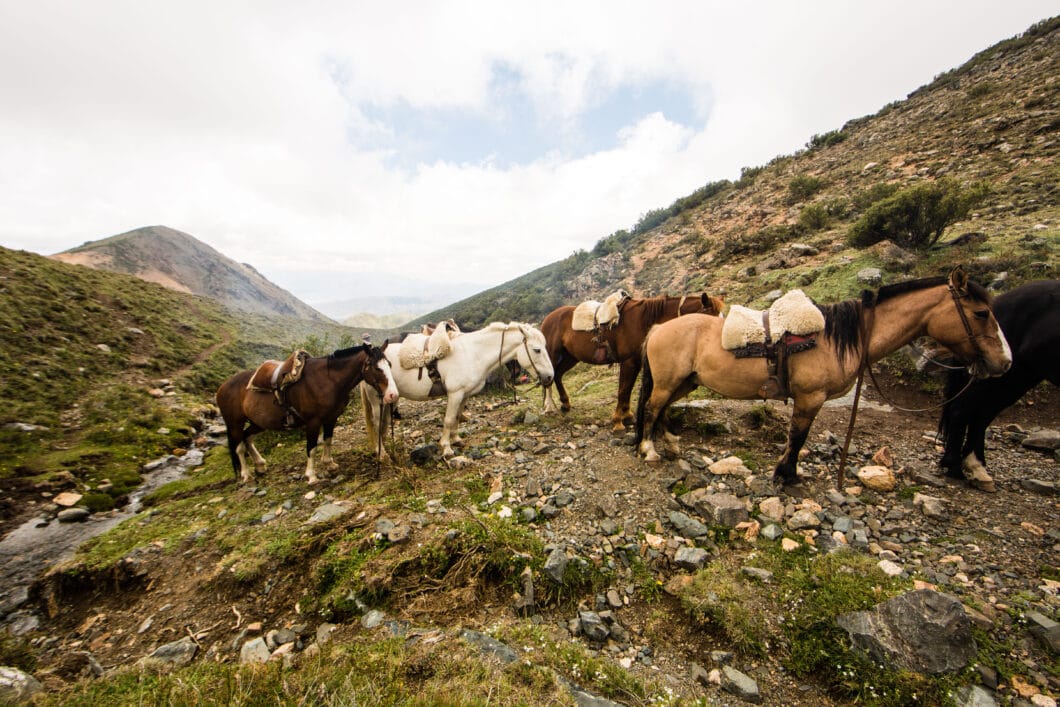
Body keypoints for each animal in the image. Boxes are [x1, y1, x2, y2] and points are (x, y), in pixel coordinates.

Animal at [215, 343, 398, 487]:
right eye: (377, 367)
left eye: (390, 364)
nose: (392, 395)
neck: (327, 380)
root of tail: (222, 387)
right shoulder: (313, 422)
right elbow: (311, 447)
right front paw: (311, 475)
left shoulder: (331, 418)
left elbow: (328, 440)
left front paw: (329, 464)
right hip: (234, 423)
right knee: (239, 447)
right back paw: (246, 474)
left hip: (258, 423)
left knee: (247, 437)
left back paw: (260, 465)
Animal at [360, 324, 555, 462]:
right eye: (537, 349)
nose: (549, 377)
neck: (473, 354)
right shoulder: (455, 394)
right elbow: (448, 419)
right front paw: (446, 448)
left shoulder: (464, 395)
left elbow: (457, 417)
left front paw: (456, 439)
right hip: (376, 401)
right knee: (377, 424)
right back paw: (382, 453)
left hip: (389, 400)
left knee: (384, 424)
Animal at [542, 292, 725, 432]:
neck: (643, 321)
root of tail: (548, 318)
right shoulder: (628, 362)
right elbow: (623, 390)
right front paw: (618, 422)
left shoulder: (635, 362)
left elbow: (627, 390)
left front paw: (628, 416)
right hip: (552, 355)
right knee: (549, 379)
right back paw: (547, 408)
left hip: (570, 357)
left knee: (557, 375)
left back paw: (565, 404)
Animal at [631, 268, 1013, 483]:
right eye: (981, 313)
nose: (1005, 362)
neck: (838, 336)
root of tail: (658, 328)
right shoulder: (810, 398)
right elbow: (798, 437)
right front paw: (785, 476)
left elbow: (797, 438)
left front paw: (788, 473)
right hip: (669, 381)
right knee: (652, 408)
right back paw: (650, 449)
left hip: (685, 382)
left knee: (662, 409)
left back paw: (671, 444)